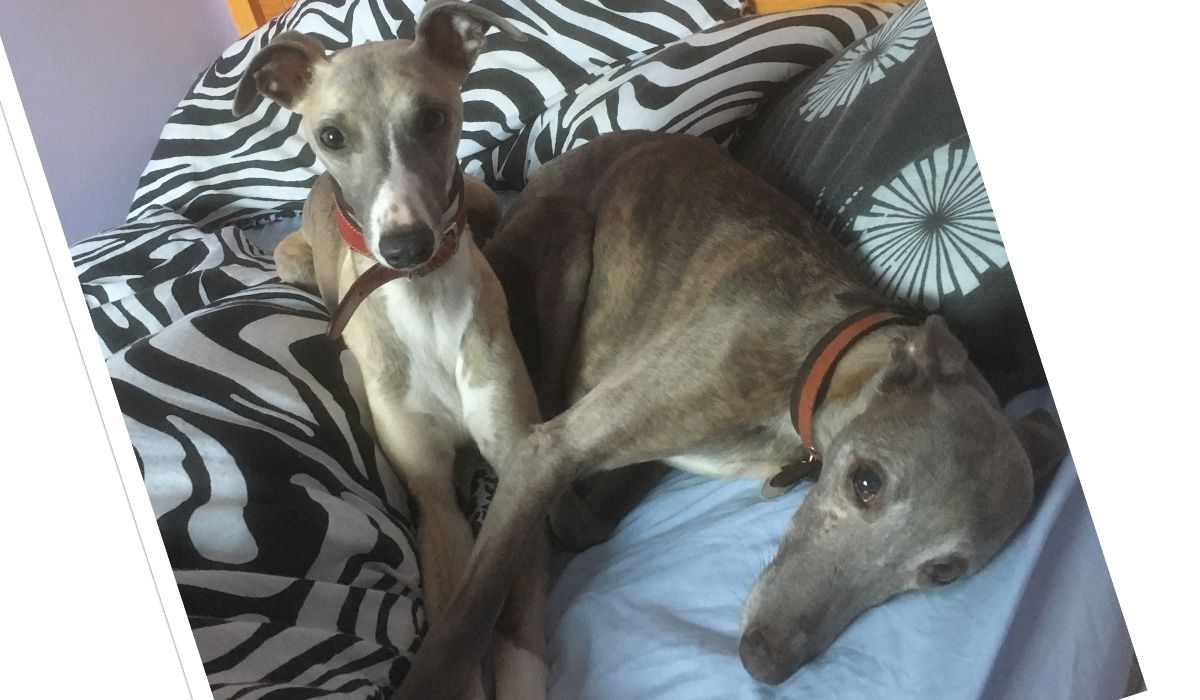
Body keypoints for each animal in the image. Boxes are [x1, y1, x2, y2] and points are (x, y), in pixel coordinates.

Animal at [232, 2, 549, 696]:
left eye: (431, 116)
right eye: (331, 136)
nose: (405, 247)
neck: (426, 300)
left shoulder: (518, 462)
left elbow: (516, 619)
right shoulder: (432, 497)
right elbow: (458, 630)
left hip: (483, 199)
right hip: (291, 259)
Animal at [388, 130, 1065, 696]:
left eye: (943, 573)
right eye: (865, 482)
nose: (764, 660)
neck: (818, 364)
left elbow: (591, 516)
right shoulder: (554, 447)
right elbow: (466, 620)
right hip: (568, 236)